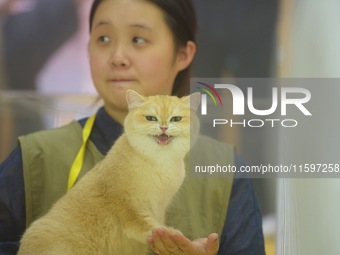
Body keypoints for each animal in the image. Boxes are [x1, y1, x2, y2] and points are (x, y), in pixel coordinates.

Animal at [17, 90, 201, 255]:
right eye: (151, 118)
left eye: (176, 119)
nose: (163, 127)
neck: (158, 161)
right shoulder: (129, 205)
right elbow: (147, 225)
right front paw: (168, 232)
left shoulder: (159, 207)